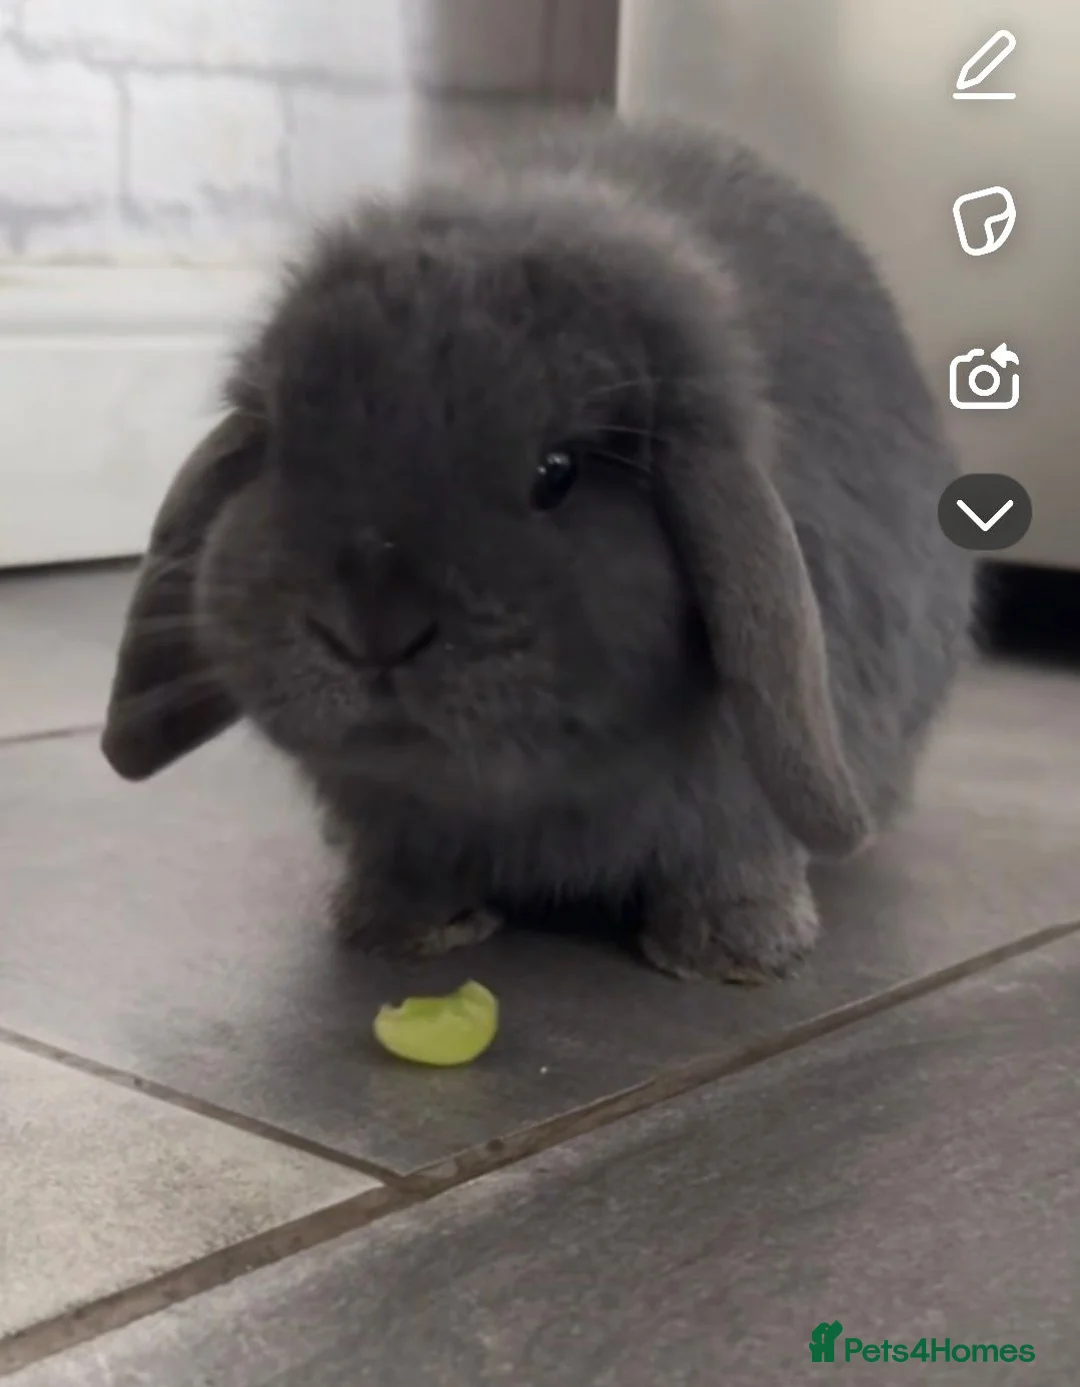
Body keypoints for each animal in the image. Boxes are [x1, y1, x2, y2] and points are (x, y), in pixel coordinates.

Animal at [101, 116, 974, 983]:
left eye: (558, 472)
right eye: (281, 446)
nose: (370, 630)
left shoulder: (745, 798)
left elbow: (733, 859)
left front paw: (733, 953)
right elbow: (407, 860)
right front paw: (399, 929)